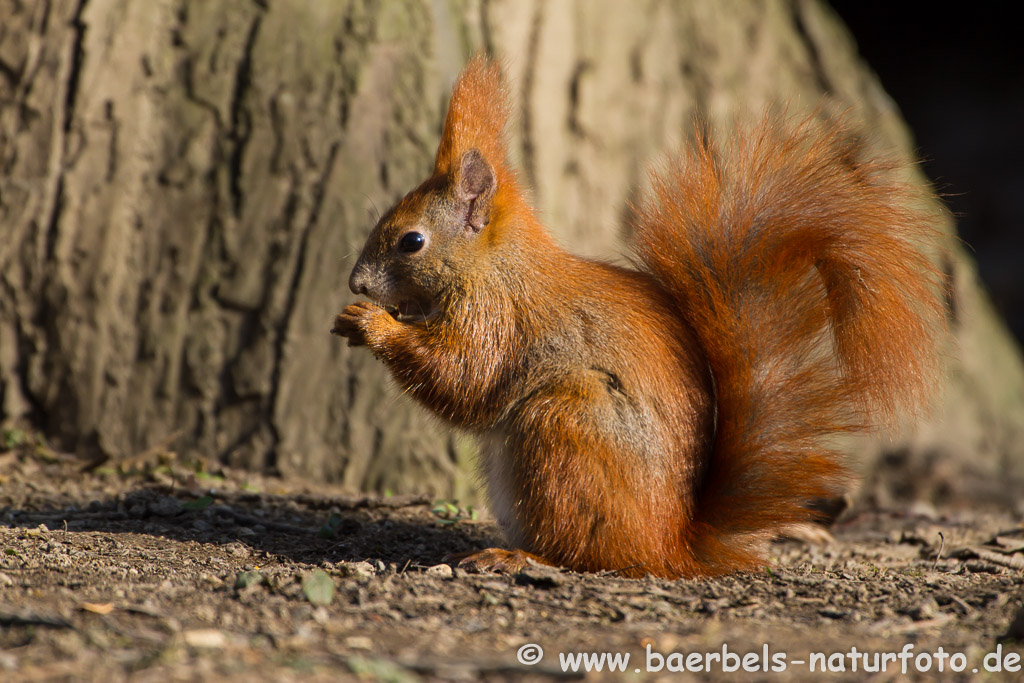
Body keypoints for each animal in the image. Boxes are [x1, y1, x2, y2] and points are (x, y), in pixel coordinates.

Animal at [333, 57, 942, 577]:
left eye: (412, 241)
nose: (356, 283)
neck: (496, 265)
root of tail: (669, 542)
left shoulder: (498, 318)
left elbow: (464, 377)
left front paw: (372, 324)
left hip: (567, 428)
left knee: (587, 554)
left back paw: (517, 558)